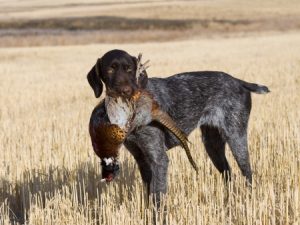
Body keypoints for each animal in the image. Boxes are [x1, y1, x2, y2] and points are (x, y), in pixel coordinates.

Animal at [86, 49, 270, 206]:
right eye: (110, 70)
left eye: (130, 69)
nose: (126, 91)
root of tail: (238, 81)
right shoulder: (142, 159)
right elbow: (149, 194)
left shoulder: (159, 159)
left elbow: (158, 197)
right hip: (213, 145)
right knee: (228, 174)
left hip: (236, 138)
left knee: (248, 174)